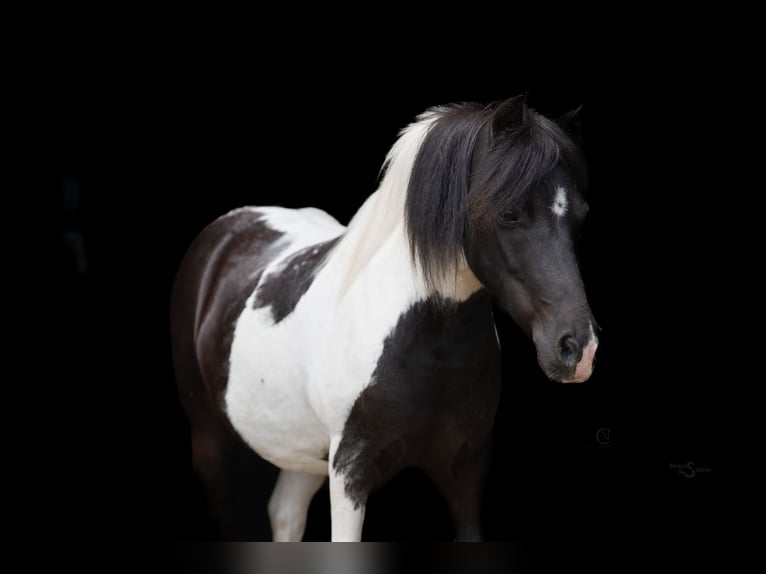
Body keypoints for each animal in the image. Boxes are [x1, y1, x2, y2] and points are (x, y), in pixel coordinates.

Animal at [170, 95, 598, 541]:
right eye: (510, 213)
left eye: (582, 214)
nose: (578, 349)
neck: (427, 346)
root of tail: (227, 228)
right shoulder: (350, 472)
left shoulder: (465, 472)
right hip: (210, 439)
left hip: (302, 455)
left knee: (285, 513)